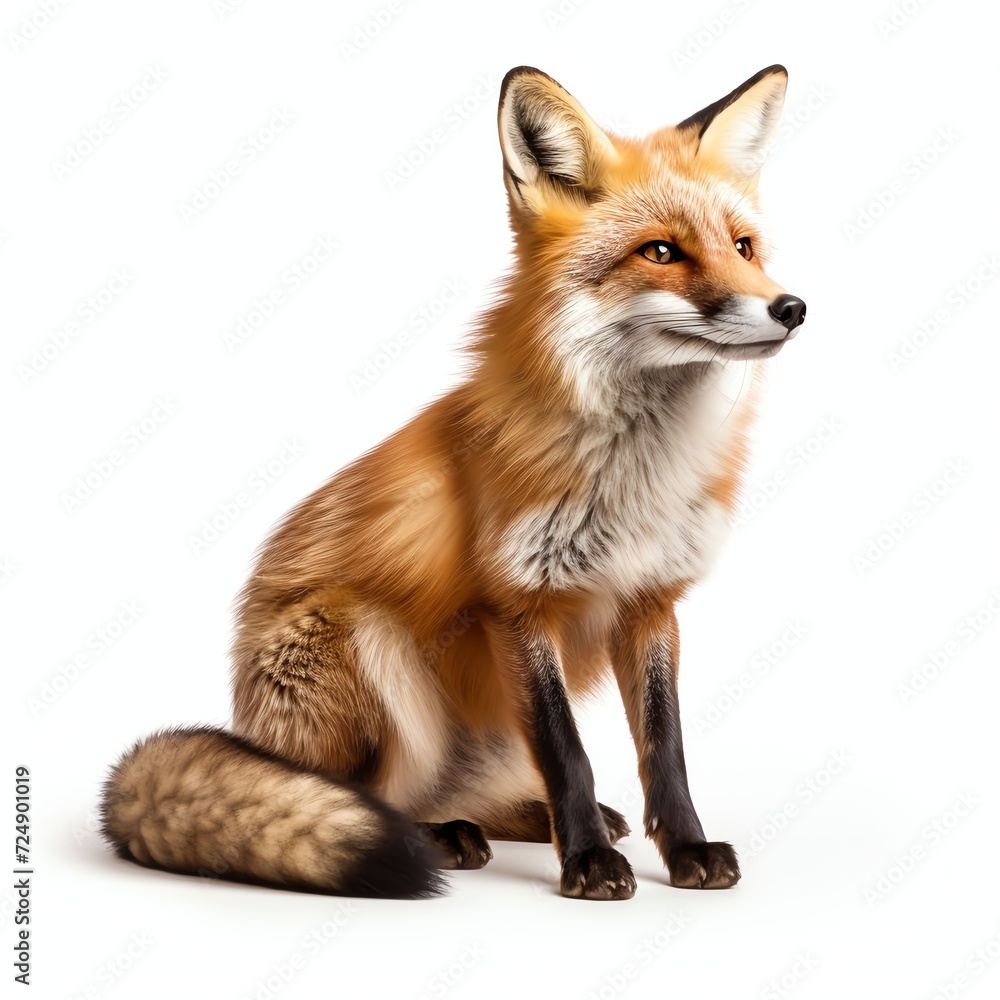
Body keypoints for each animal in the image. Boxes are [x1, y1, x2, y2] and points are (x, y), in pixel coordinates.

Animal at [101, 64, 806, 900]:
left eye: (744, 247)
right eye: (661, 251)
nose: (791, 307)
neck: (635, 480)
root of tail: (250, 731)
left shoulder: (651, 602)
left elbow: (664, 751)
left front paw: (684, 849)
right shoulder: (518, 603)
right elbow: (567, 749)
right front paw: (587, 865)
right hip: (359, 637)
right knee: (363, 797)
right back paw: (439, 838)